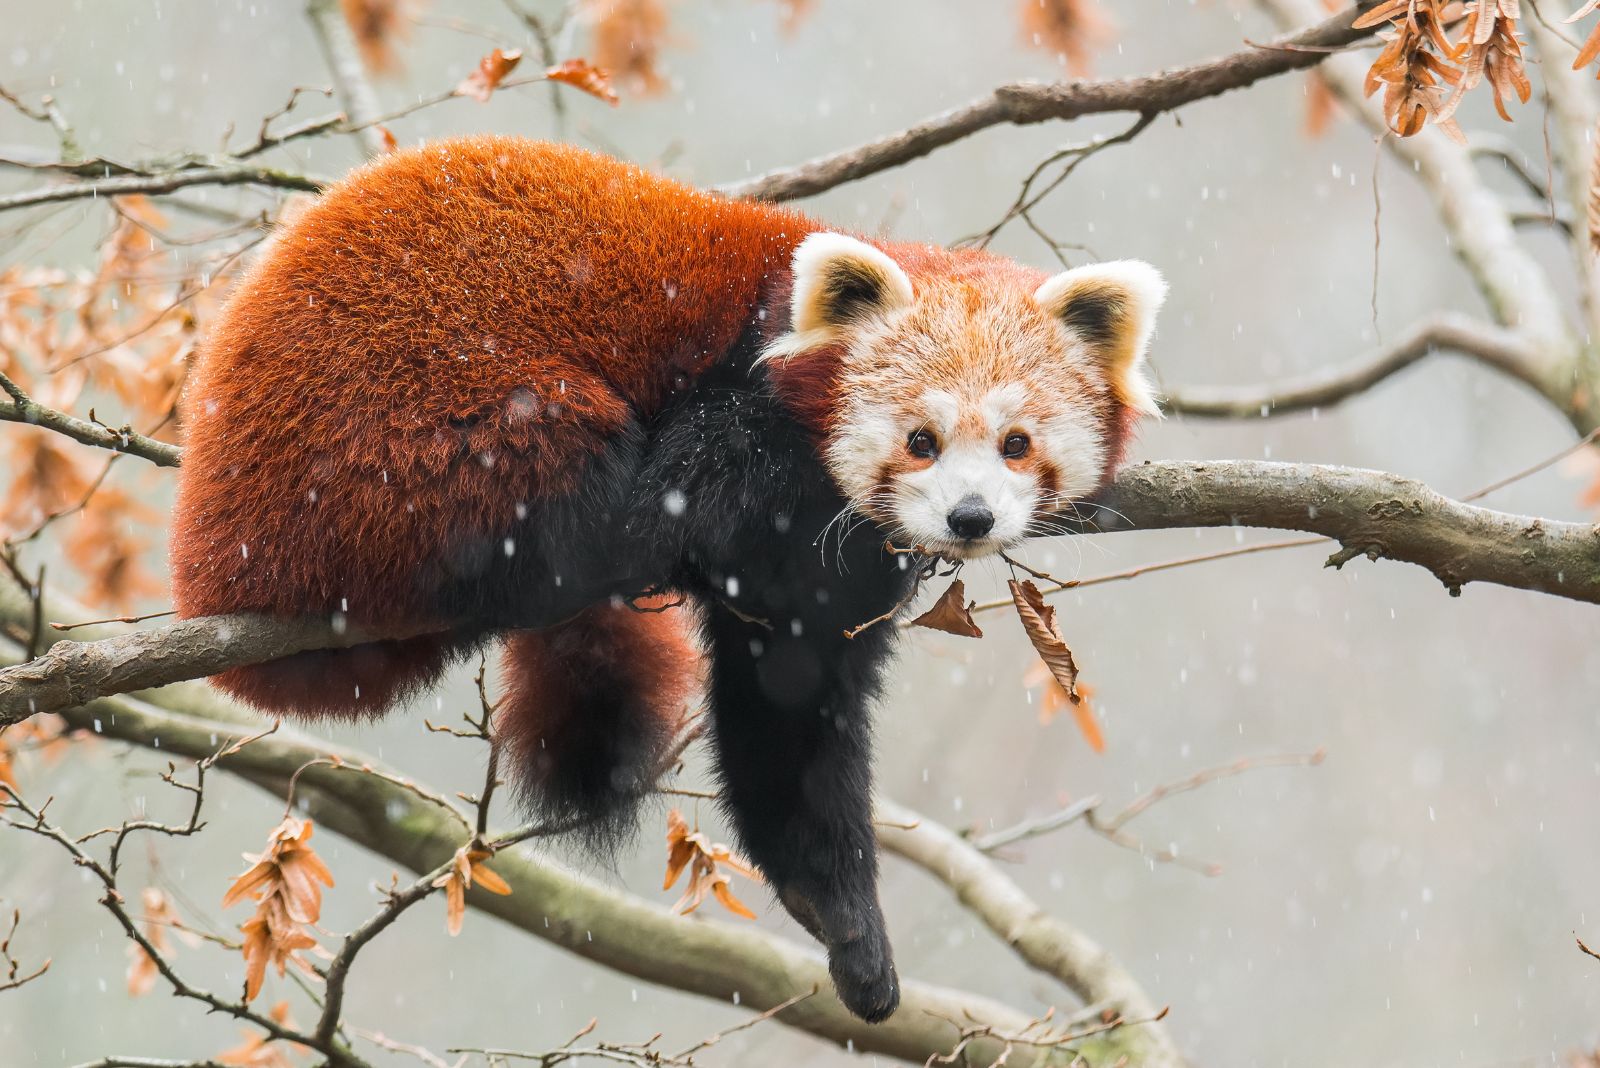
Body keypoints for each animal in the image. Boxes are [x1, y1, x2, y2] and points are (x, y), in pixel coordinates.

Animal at [172, 137, 1164, 1023]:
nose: (969, 518)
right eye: (920, 440)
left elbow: (790, 706)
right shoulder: (730, 425)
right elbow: (690, 511)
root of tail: (208, 541)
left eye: (1016, 444)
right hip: (408, 441)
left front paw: (843, 919)